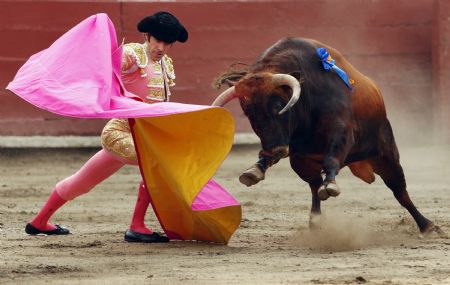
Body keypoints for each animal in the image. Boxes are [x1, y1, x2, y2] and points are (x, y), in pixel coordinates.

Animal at [213, 37, 444, 235]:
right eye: (248, 113)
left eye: (278, 105)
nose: (276, 149)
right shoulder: (296, 153)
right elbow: (310, 178)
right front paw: (255, 169)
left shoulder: (342, 131)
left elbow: (332, 158)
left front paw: (331, 185)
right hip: (302, 162)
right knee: (315, 185)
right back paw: (315, 220)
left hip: (386, 154)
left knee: (399, 190)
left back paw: (428, 226)